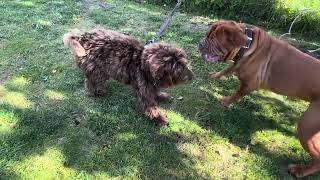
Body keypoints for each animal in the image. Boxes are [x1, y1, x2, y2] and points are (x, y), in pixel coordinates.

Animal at [62, 28, 192, 126]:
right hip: (97, 70)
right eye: (177, 68)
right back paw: (98, 92)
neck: (143, 64)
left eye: (183, 63)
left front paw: (161, 96)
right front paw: (159, 119)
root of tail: (82, 37)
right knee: (90, 81)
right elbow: (150, 106)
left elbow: (155, 93)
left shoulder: (151, 86)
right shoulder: (144, 90)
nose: (191, 76)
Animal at [199, 19, 320, 177]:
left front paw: (226, 101)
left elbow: (238, 93)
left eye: (213, 39)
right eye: (207, 35)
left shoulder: (250, 84)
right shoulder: (237, 64)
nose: (200, 43)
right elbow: (228, 69)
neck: (249, 45)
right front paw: (216, 75)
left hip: (307, 126)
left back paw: (300, 171)